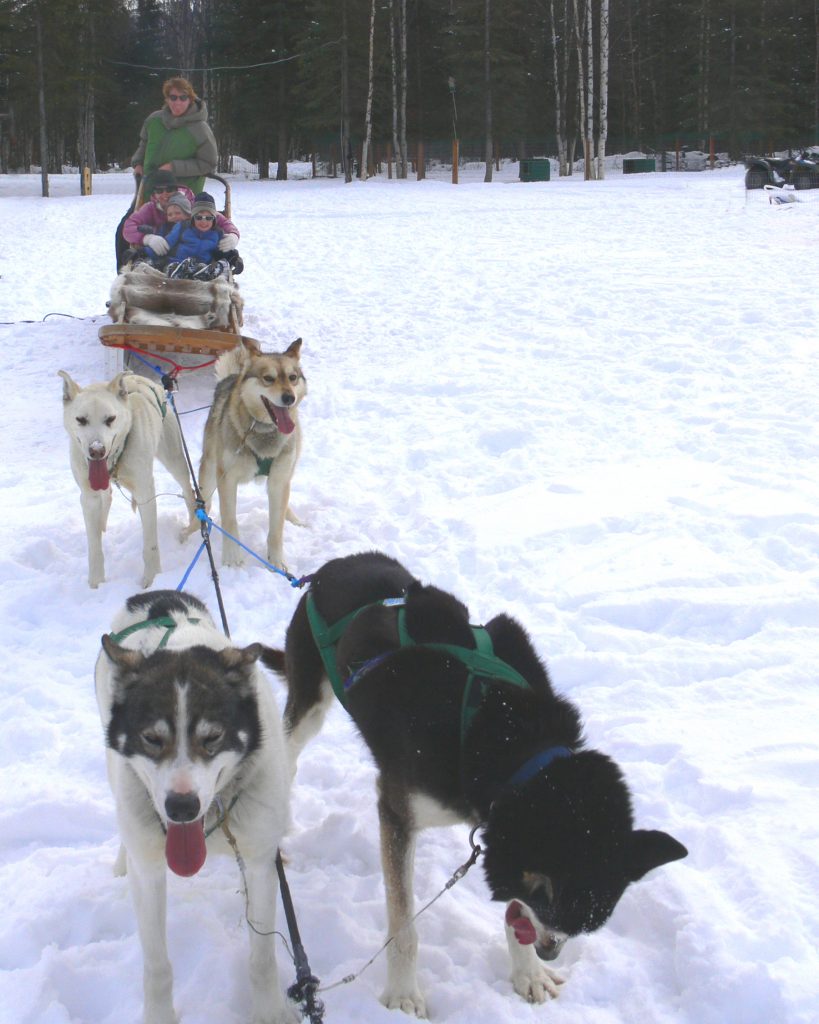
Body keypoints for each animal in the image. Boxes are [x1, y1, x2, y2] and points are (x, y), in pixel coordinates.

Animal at [58, 372, 196, 589]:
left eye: (110, 419)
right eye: (81, 419)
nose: (96, 450)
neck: (115, 461)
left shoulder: (145, 494)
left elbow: (150, 545)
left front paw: (152, 579)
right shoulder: (88, 498)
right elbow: (94, 548)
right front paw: (96, 584)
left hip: (175, 461)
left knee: (188, 491)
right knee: (107, 497)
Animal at [96, 589, 298, 1024]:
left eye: (213, 737)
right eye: (152, 739)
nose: (182, 807)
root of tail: (154, 595)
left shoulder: (260, 863)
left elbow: (262, 957)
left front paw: (270, 1012)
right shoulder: (150, 873)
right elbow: (157, 966)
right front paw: (159, 1016)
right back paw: (121, 861)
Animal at [199, 339, 307, 573]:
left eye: (292, 377)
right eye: (268, 378)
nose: (289, 397)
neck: (263, 431)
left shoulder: (279, 480)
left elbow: (276, 529)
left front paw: (276, 561)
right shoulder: (226, 479)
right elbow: (230, 521)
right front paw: (232, 558)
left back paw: (295, 519)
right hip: (209, 472)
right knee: (204, 506)